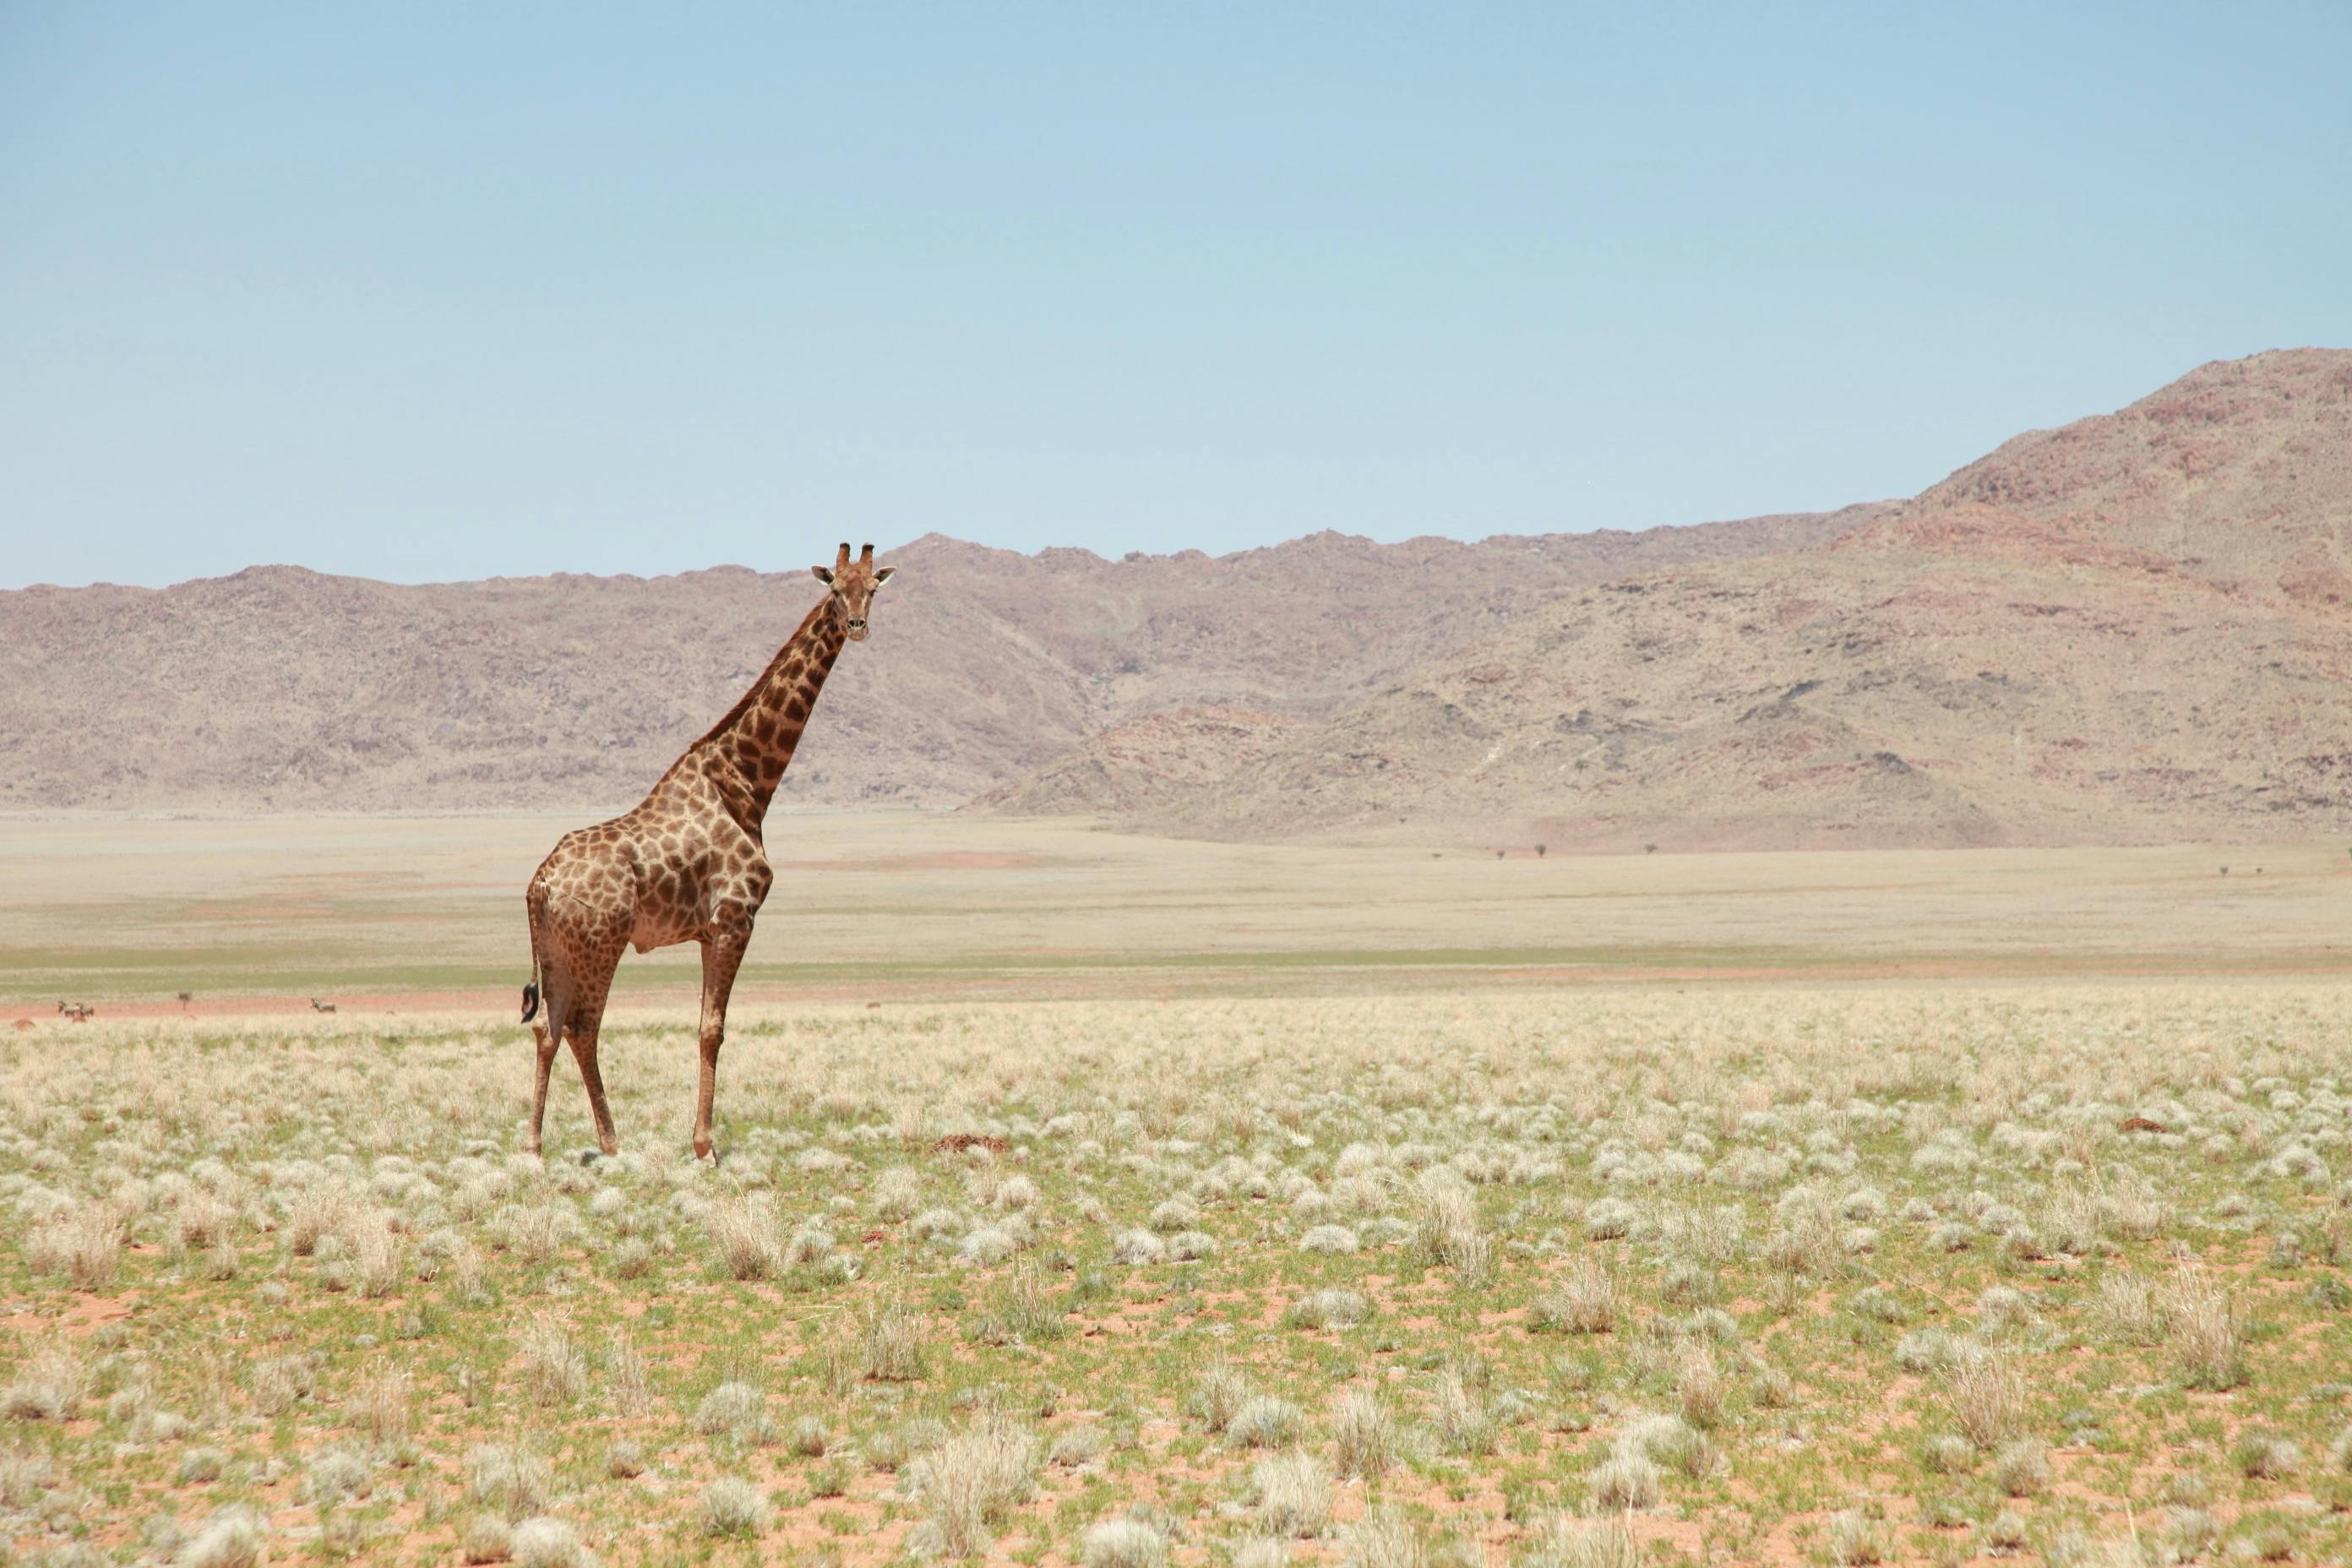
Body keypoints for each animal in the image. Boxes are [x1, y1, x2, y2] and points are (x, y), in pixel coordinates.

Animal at [519, 542, 896, 1161]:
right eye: (836, 590)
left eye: (873, 589)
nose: (859, 626)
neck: (746, 782)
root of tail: (539, 883)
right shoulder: (735, 920)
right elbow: (712, 1029)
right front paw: (705, 1147)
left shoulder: (705, 931)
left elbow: (705, 1024)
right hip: (600, 944)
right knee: (582, 1027)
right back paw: (612, 1142)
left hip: (555, 949)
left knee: (546, 1028)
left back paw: (533, 1146)